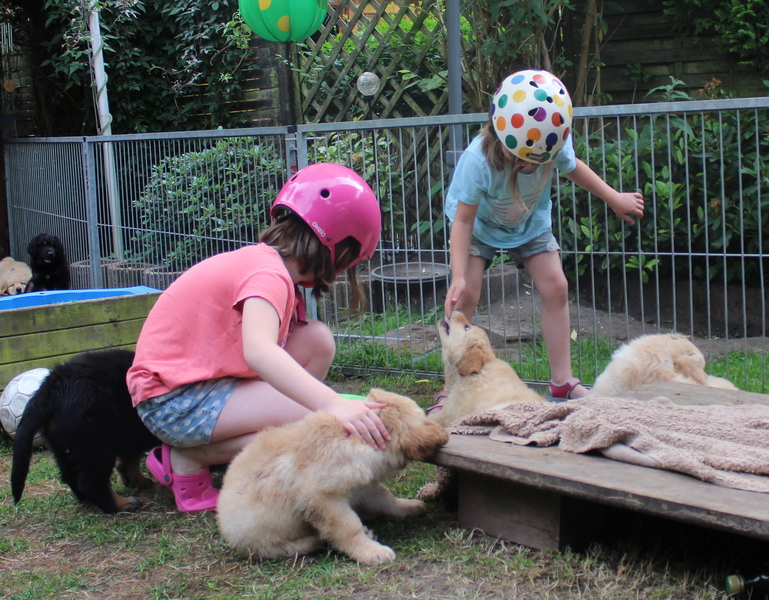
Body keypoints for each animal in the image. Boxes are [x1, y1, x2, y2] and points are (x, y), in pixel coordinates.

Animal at [11, 349, 160, 514]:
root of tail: (52, 387)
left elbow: (129, 460)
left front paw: (135, 480)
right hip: (96, 442)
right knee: (91, 483)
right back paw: (121, 504)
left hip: (67, 445)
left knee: (72, 475)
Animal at [217, 388, 448, 564]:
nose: (445, 434)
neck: (359, 441)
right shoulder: (324, 498)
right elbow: (348, 528)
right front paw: (372, 552)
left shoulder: (364, 487)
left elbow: (386, 499)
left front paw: (408, 506)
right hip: (267, 538)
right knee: (292, 545)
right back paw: (322, 539)